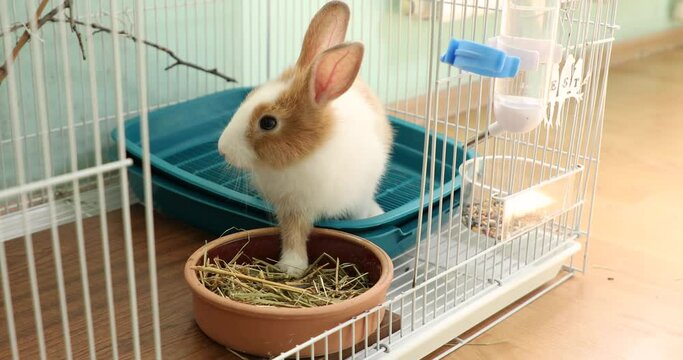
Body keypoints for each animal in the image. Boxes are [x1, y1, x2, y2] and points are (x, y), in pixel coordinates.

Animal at [216, 0, 392, 278]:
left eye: (268, 122)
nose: (222, 149)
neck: (307, 156)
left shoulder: (359, 192)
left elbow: (360, 211)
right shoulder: (292, 208)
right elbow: (293, 235)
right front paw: (292, 267)